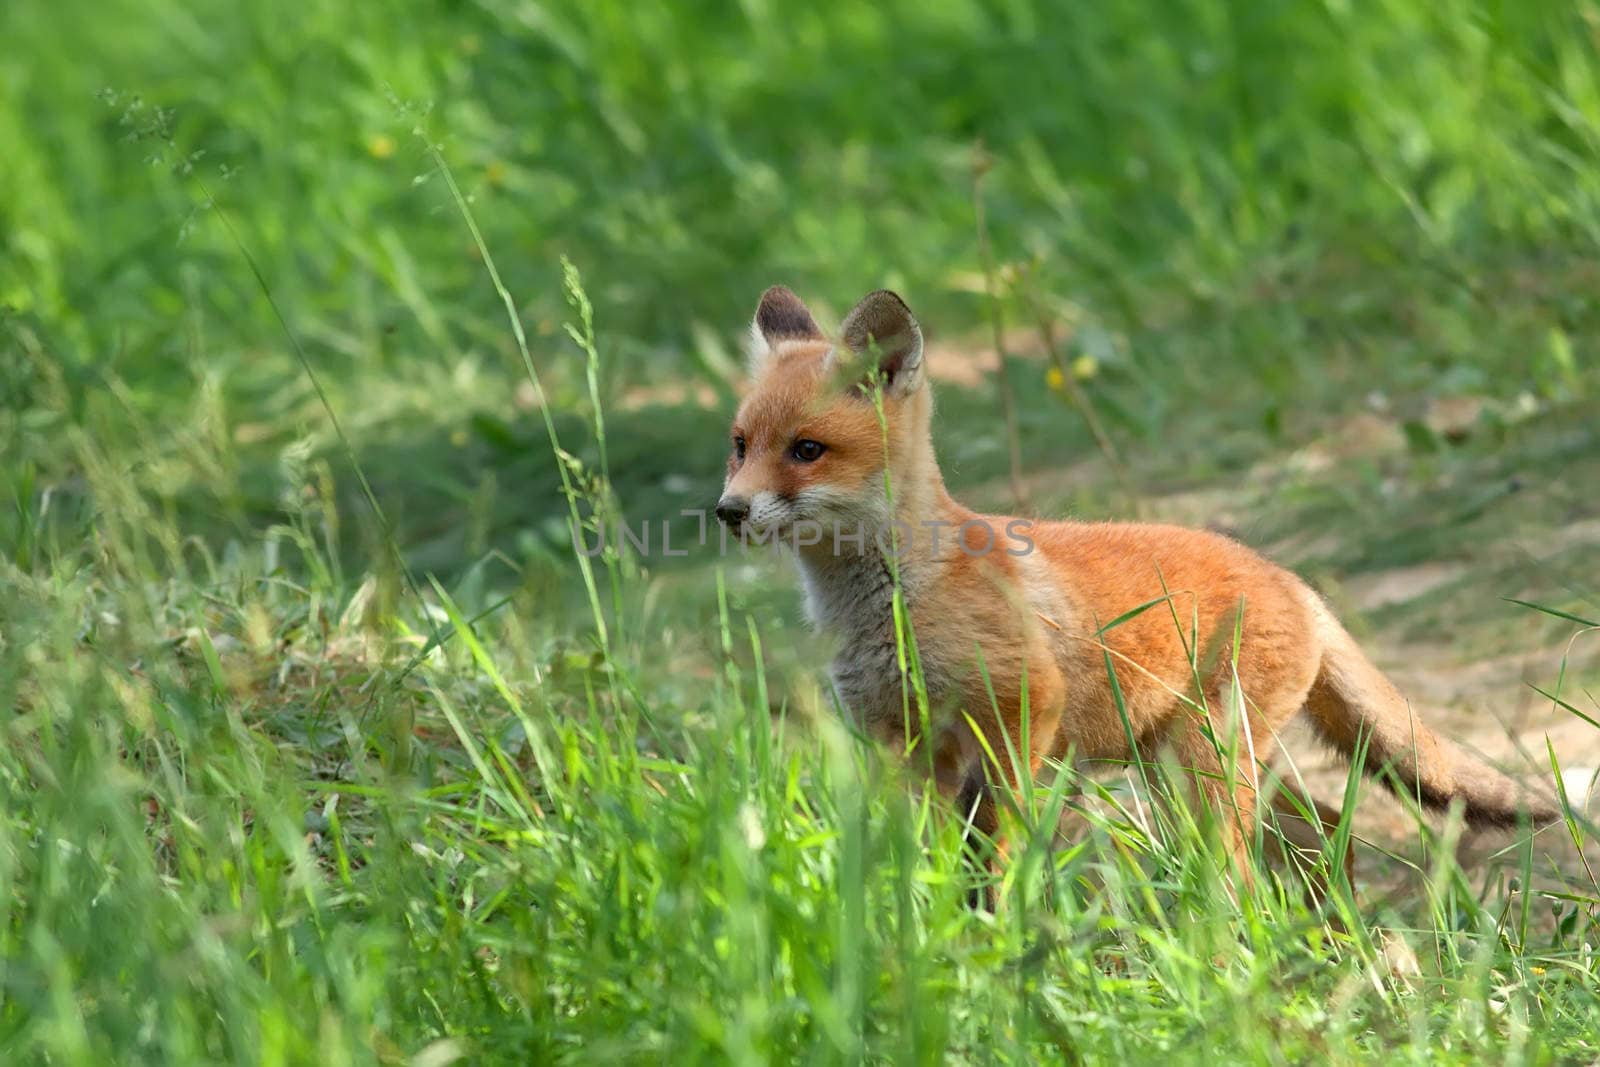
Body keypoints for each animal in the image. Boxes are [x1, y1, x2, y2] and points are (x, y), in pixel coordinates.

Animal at [716, 286, 1561, 902]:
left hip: (1202, 768)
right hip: (1186, 765)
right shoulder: (901, 744)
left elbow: (1002, 856)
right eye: (740, 445)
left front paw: (997, 933)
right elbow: (923, 858)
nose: (727, 510)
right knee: (1327, 831)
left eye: (806, 450)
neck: (891, 606)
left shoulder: (1020, 716)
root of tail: (1290, 576)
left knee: (1248, 864)